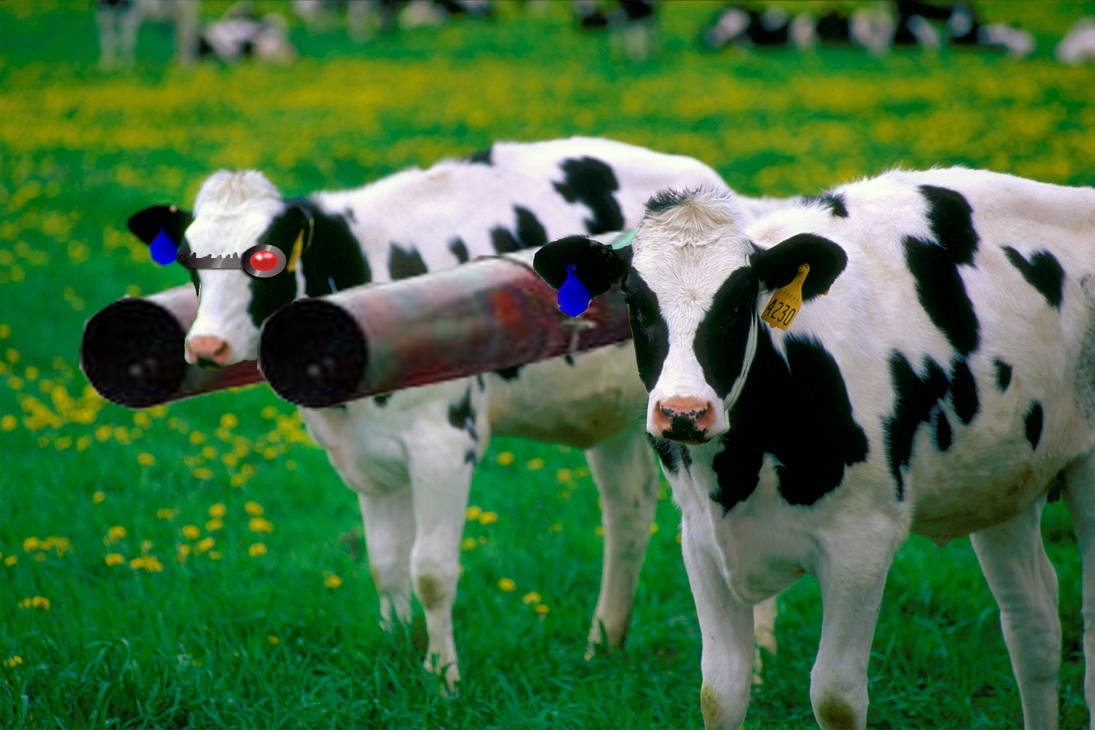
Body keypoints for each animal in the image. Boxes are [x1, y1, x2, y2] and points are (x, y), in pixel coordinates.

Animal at [124, 137, 785, 691]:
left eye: (266, 261)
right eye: (188, 259)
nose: (206, 345)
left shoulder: (444, 443)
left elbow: (431, 570)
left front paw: (442, 677)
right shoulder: (365, 455)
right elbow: (385, 562)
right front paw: (394, 650)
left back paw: (761, 650)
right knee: (627, 512)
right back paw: (603, 642)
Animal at [533, 167, 1095, 728]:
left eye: (739, 301)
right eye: (635, 301)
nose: (684, 413)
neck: (740, 471)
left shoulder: (861, 544)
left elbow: (835, 697)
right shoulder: (701, 541)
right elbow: (719, 691)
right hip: (1002, 484)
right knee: (1033, 625)